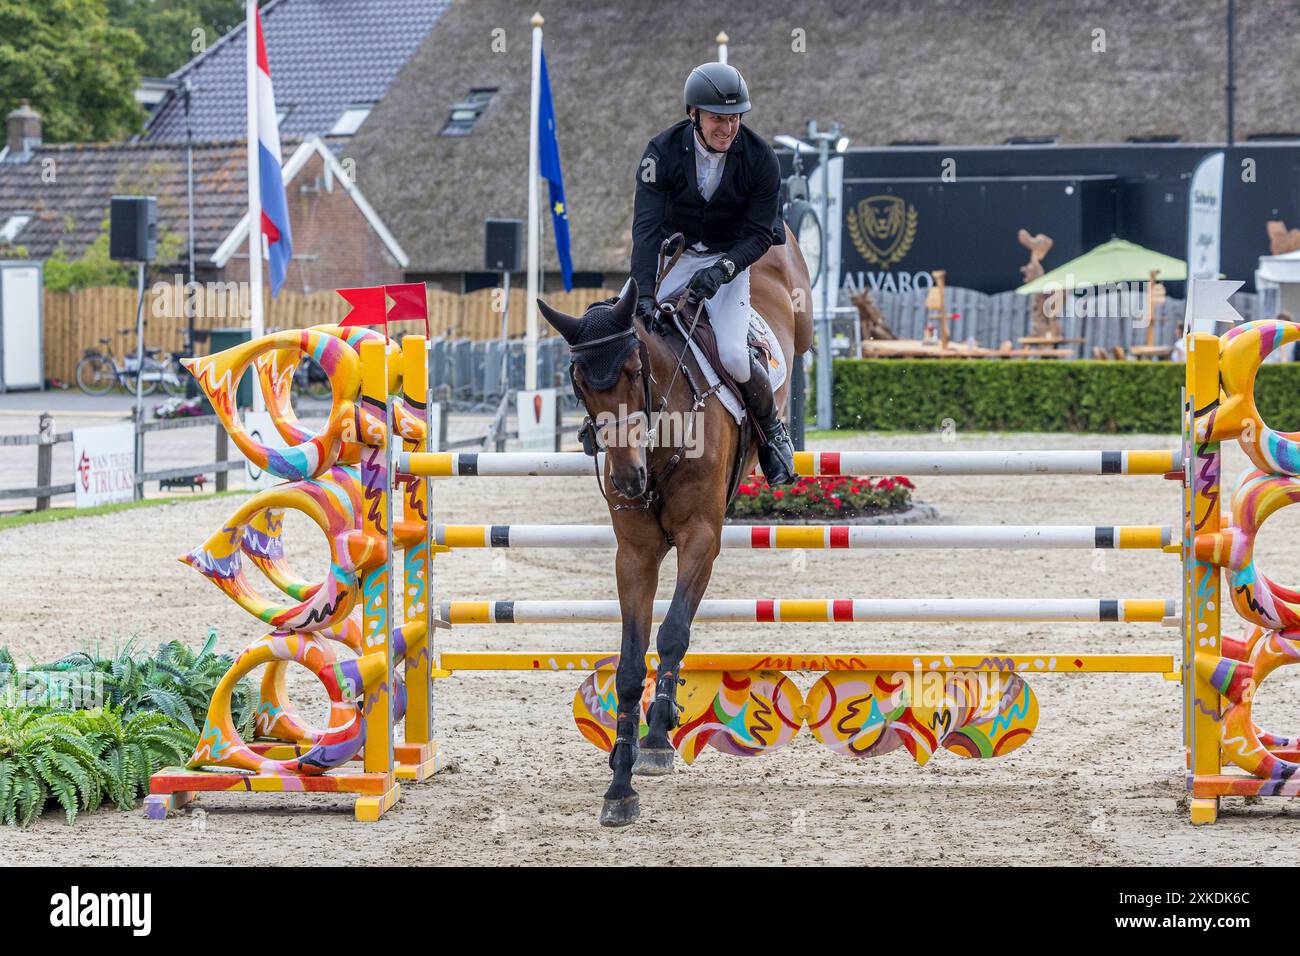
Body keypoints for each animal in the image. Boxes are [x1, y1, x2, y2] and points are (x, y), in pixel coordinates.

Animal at [538, 227, 811, 827]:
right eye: (578, 383)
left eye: (634, 372)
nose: (628, 480)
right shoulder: (635, 554)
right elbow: (630, 660)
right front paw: (620, 783)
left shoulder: (700, 539)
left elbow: (673, 632)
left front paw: (659, 737)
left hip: (787, 292)